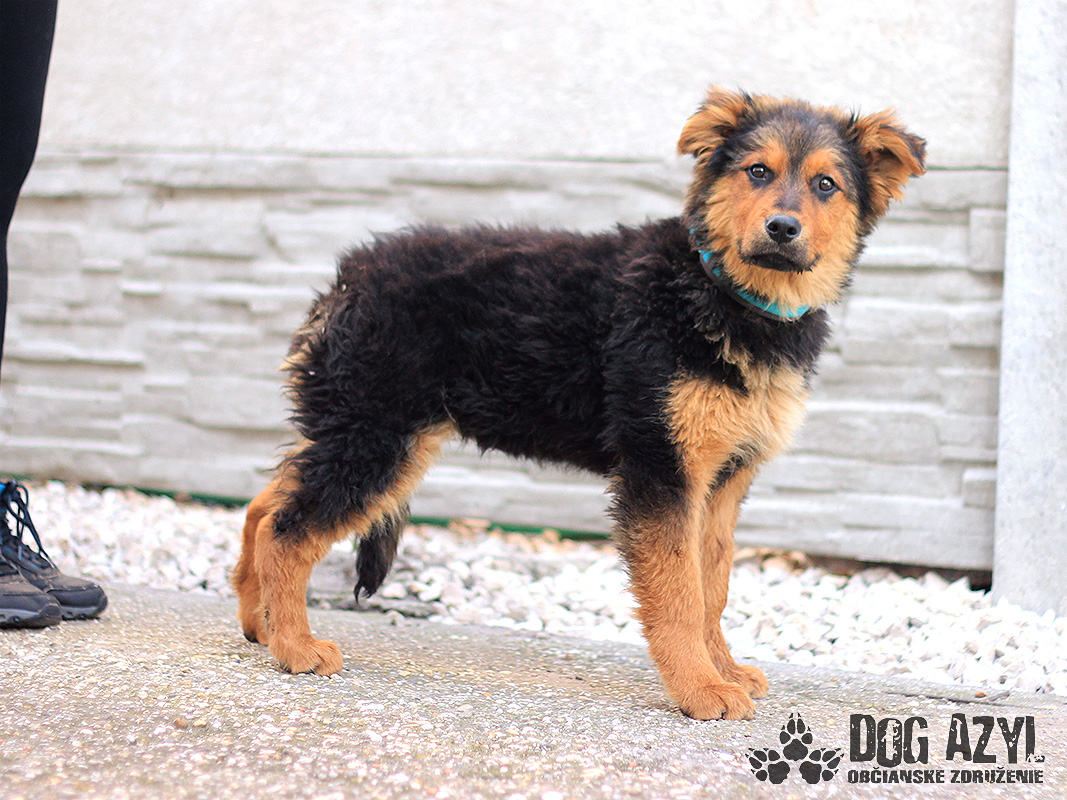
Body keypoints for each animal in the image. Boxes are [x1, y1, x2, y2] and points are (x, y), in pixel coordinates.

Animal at [232, 88, 925, 720]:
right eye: (758, 171)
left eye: (826, 185)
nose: (783, 228)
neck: (723, 290)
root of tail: (348, 279)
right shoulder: (661, 466)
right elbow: (679, 591)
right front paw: (701, 690)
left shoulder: (723, 477)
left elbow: (713, 584)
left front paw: (723, 670)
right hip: (377, 437)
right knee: (289, 529)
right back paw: (296, 647)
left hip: (362, 431)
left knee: (265, 506)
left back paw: (257, 622)